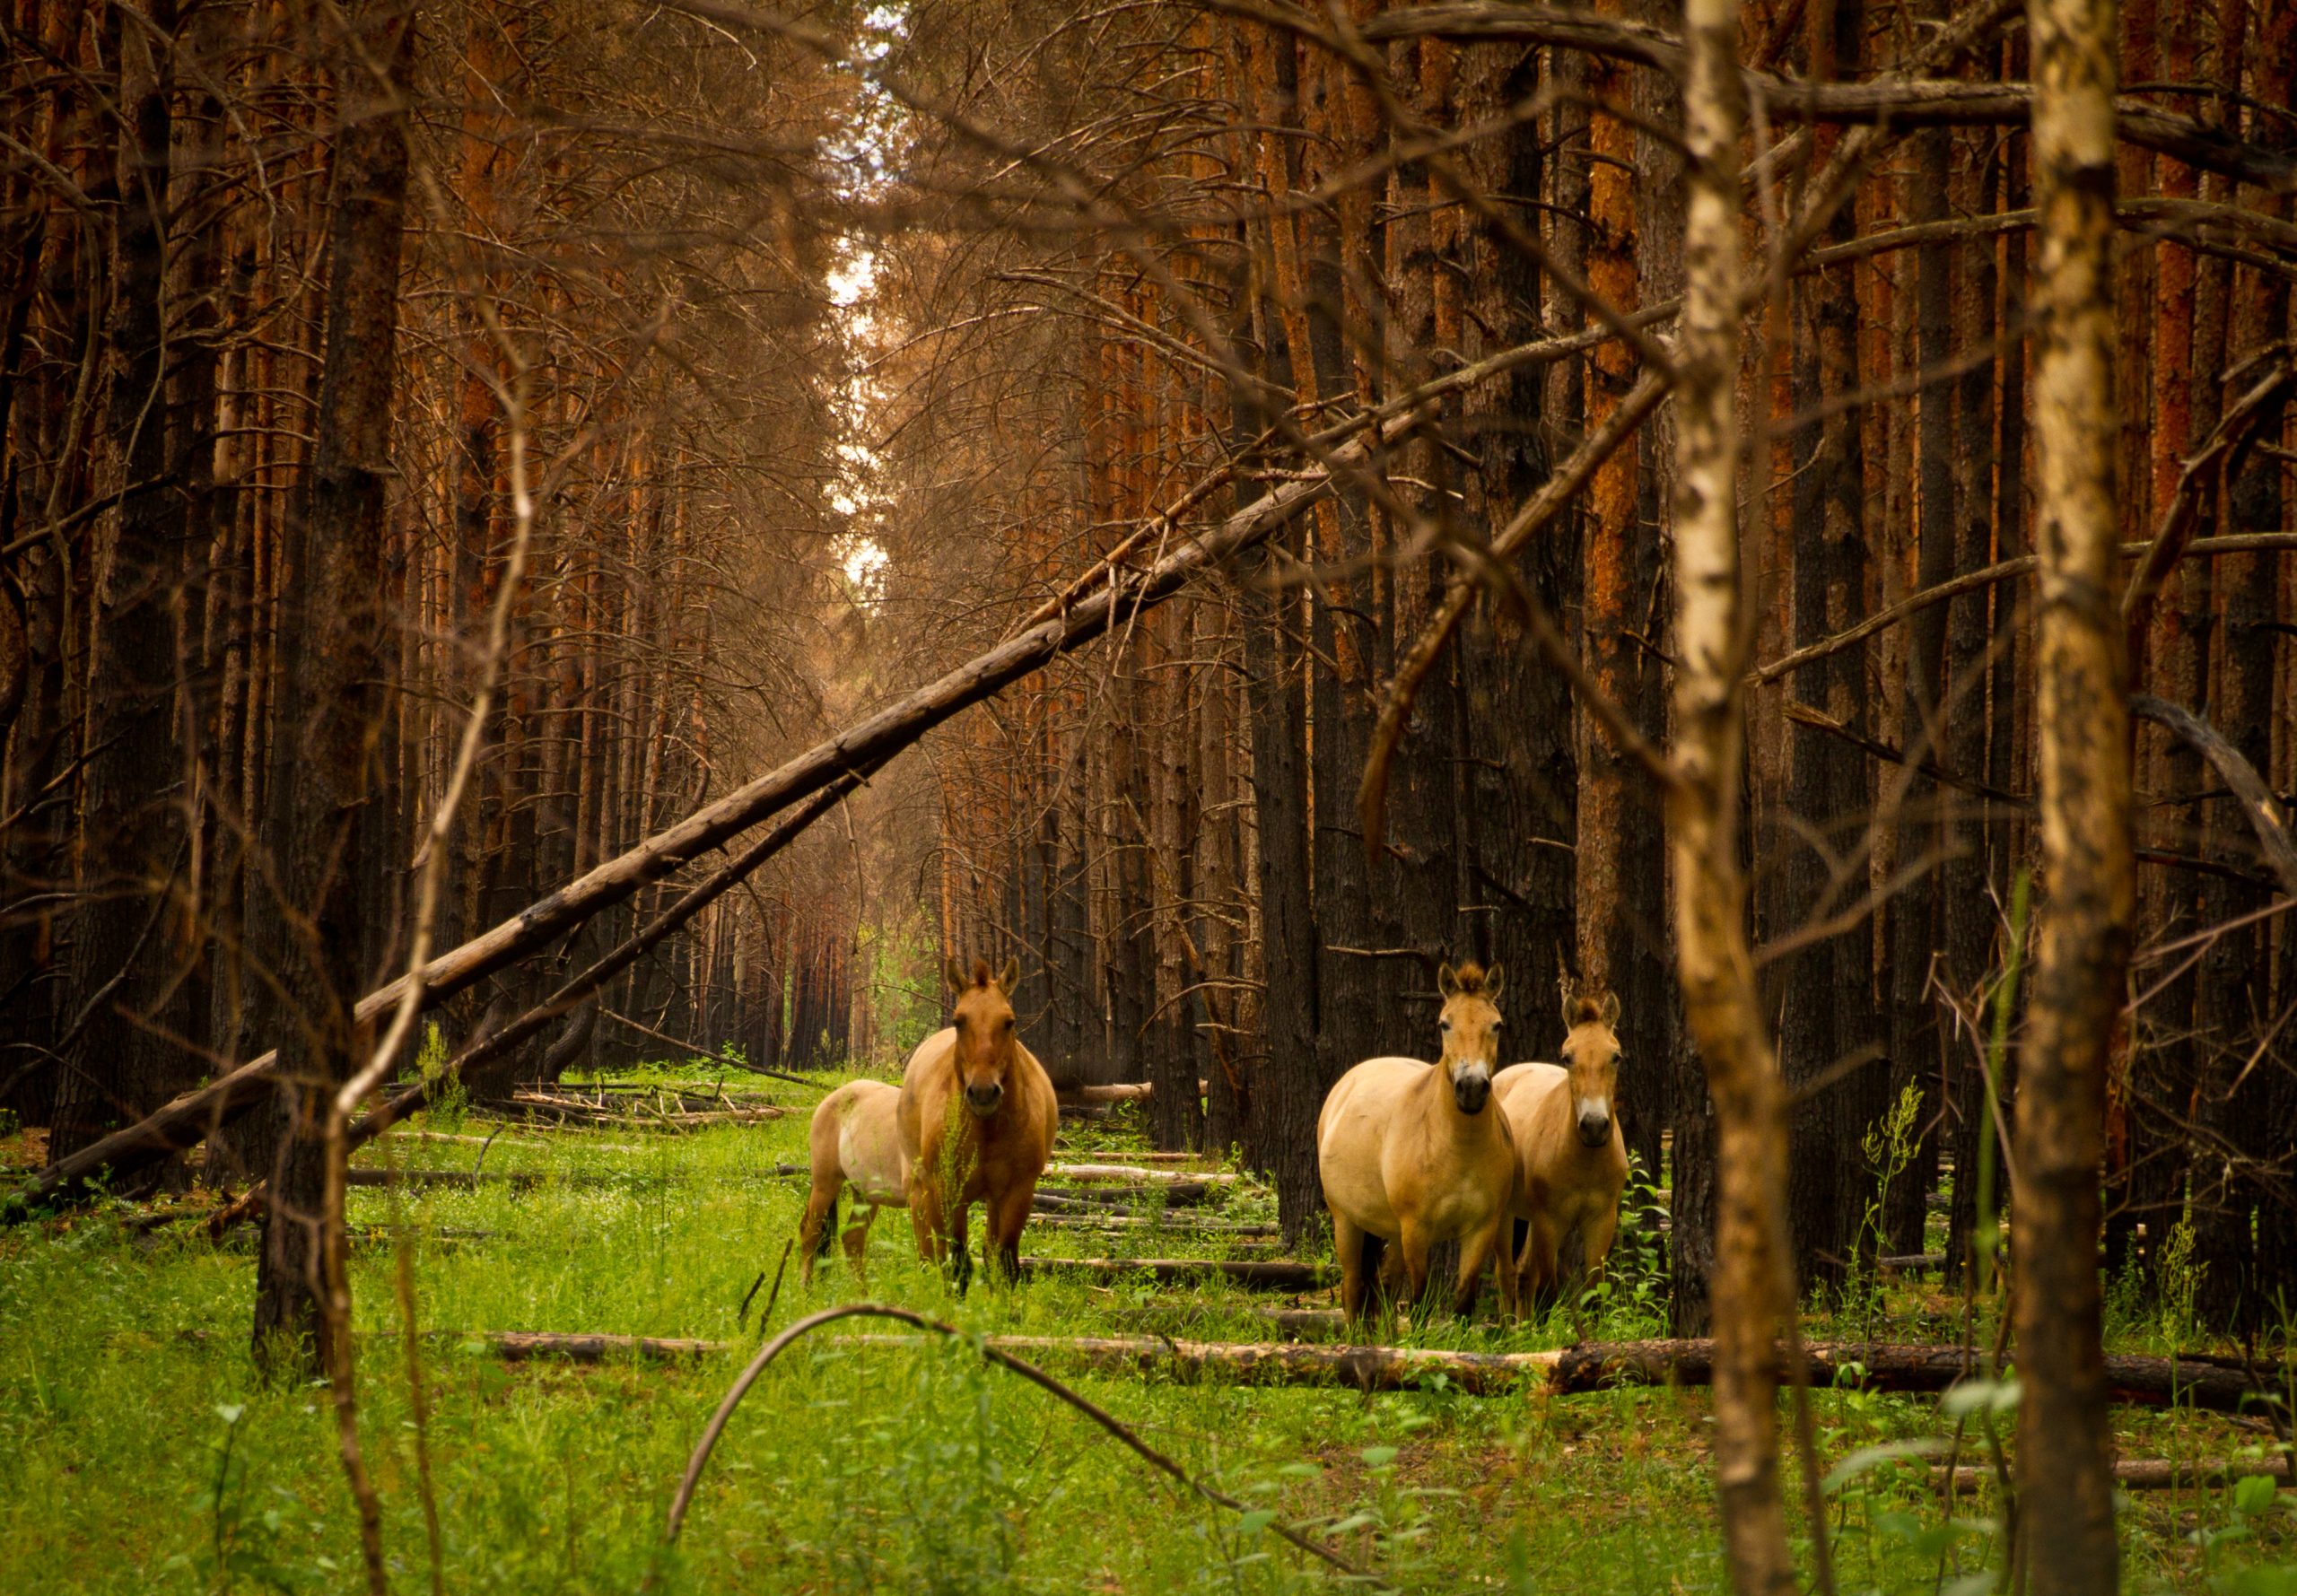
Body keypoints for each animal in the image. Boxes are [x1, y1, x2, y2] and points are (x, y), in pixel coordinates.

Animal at [895, 959, 1056, 1286]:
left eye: (1009, 1021)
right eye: (959, 1021)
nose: (983, 1092)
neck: (986, 1130)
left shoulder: (1017, 1192)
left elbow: (1004, 1263)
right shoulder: (948, 1192)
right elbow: (957, 1264)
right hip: (920, 1190)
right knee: (928, 1253)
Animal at [1323, 959, 1515, 1322]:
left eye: (1496, 1025)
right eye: (1444, 1024)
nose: (1471, 1088)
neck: (1457, 1147)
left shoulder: (1480, 1230)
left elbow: (1463, 1303)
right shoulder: (1416, 1230)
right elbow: (1420, 1303)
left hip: (1390, 1231)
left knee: (1383, 1289)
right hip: (1347, 1223)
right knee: (1352, 1290)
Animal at [1488, 987, 1635, 1313]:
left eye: (1616, 1056)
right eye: (1567, 1057)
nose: (1594, 1126)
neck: (1584, 1161)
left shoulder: (1601, 1221)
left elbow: (1594, 1293)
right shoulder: (1549, 1222)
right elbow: (1548, 1289)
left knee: (1523, 1274)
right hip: (1507, 1215)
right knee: (1505, 1275)